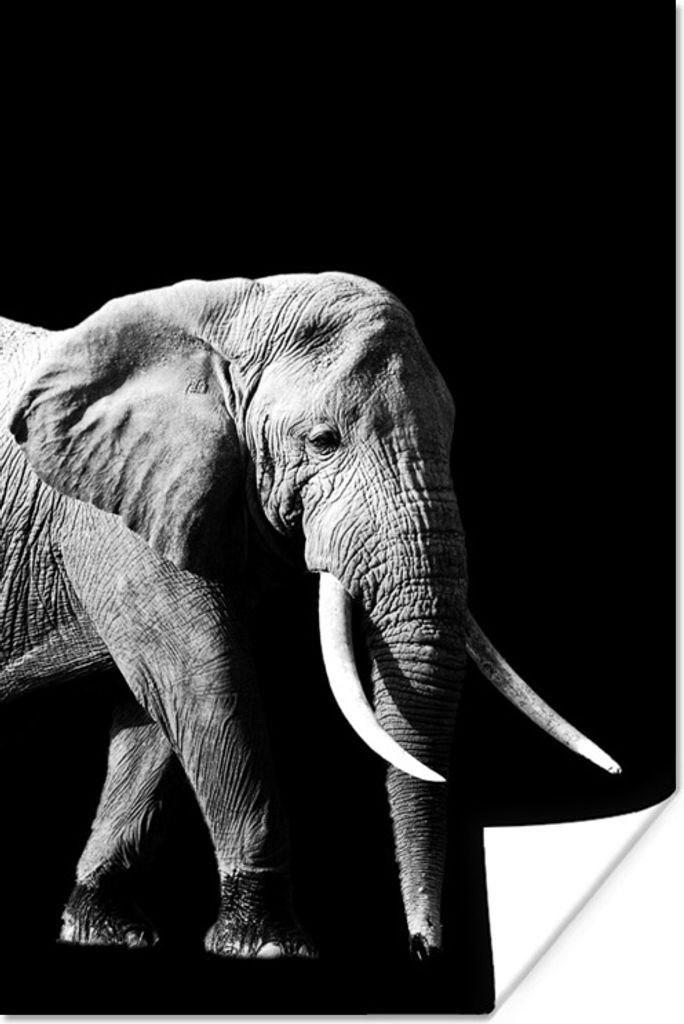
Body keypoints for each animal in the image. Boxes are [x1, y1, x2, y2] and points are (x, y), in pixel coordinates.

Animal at [0, 272, 621, 960]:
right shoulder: (113, 509)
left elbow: (154, 711)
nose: (423, 947)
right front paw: (269, 947)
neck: (229, 311)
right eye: (323, 441)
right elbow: (202, 675)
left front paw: (106, 932)